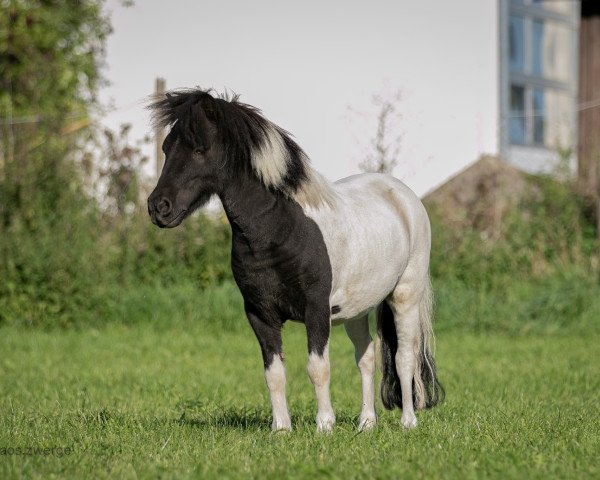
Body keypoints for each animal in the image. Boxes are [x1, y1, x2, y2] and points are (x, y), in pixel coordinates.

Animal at [147, 88, 442, 434]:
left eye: (198, 149)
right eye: (166, 147)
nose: (158, 207)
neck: (281, 229)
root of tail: (402, 195)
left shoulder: (316, 311)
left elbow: (318, 368)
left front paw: (324, 426)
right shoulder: (260, 314)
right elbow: (274, 373)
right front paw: (281, 429)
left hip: (405, 297)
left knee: (404, 357)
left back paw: (408, 421)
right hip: (356, 309)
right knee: (367, 357)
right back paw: (366, 423)